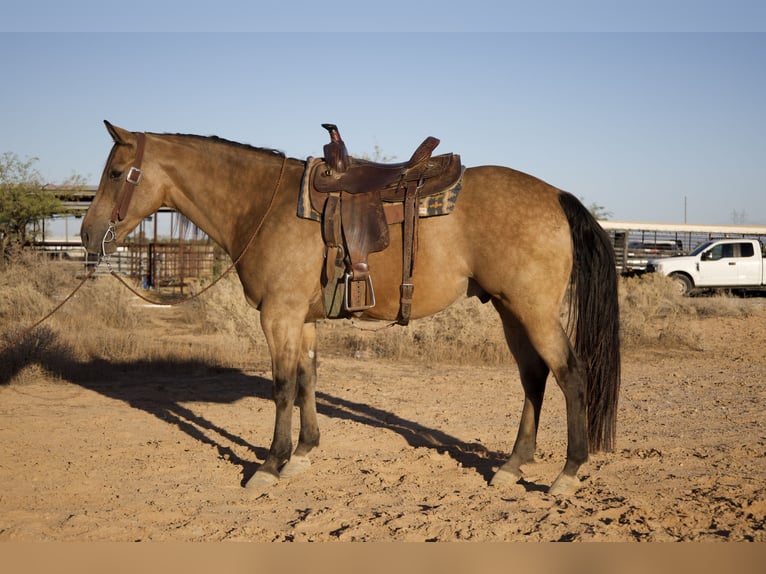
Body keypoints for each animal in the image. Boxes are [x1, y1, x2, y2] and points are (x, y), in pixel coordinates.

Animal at [81, 121, 620, 496]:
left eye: (115, 173)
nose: (87, 235)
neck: (262, 206)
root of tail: (556, 195)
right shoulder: (301, 320)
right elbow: (307, 380)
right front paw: (303, 454)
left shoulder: (278, 316)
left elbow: (282, 387)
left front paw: (270, 466)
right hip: (511, 311)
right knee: (534, 377)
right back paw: (512, 465)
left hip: (534, 312)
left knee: (570, 374)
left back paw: (567, 473)